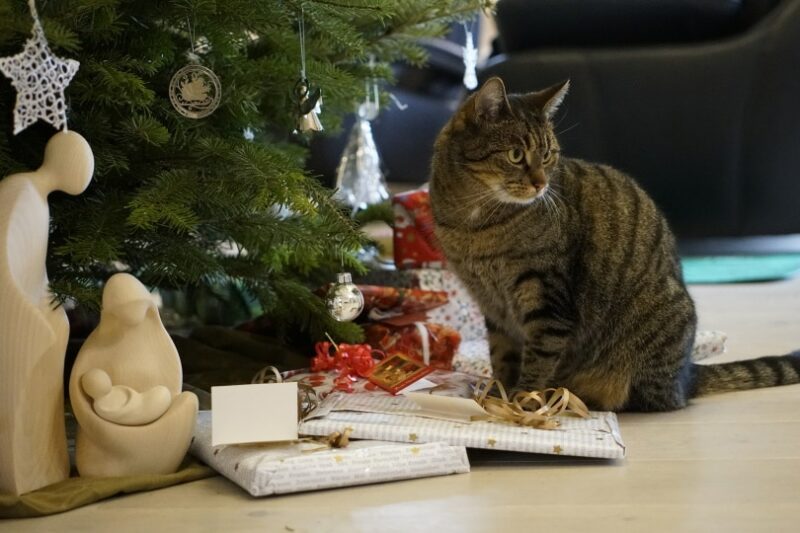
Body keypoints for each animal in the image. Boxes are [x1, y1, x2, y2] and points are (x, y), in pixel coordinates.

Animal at [432, 77, 800, 410]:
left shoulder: (547, 298)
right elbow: (502, 356)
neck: (474, 224)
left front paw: (523, 402)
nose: (540, 184)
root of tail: (687, 378)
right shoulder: (493, 308)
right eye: (516, 154)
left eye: (548, 155)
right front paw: (499, 396)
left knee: (651, 400)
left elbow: (538, 359)